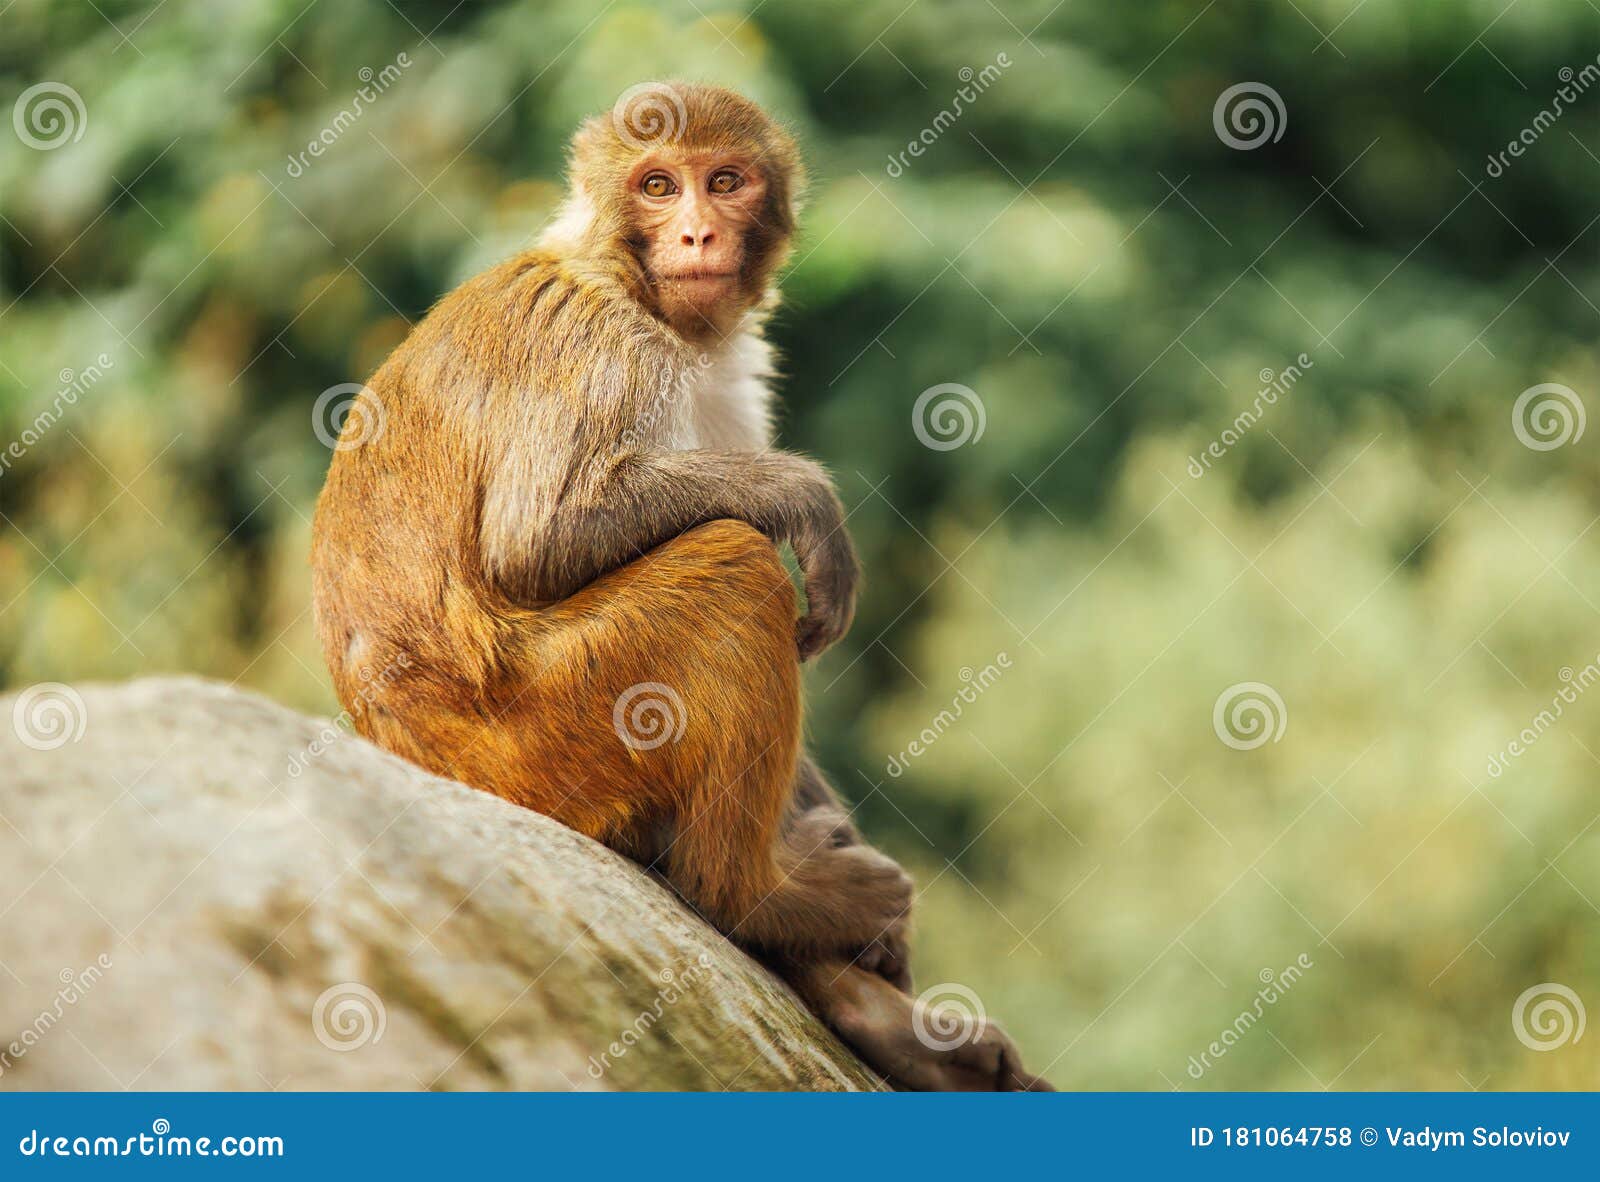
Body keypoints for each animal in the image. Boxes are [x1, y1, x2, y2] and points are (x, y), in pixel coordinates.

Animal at [310, 78, 1049, 1087]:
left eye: (724, 181)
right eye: (659, 186)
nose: (697, 232)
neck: (640, 294)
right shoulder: (596, 343)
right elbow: (537, 536)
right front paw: (801, 497)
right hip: (551, 733)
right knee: (731, 567)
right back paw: (754, 897)